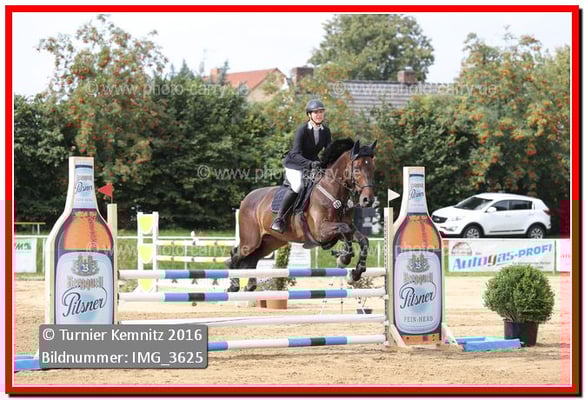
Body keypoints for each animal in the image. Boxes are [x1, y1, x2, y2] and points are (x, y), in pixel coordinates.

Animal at [226, 138, 377, 292]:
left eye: (372, 168)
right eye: (357, 168)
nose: (368, 200)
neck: (334, 192)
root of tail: (246, 199)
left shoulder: (345, 228)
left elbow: (363, 240)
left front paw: (355, 273)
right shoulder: (321, 231)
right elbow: (344, 230)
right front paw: (344, 259)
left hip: (271, 241)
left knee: (253, 258)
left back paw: (249, 286)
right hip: (251, 240)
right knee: (236, 254)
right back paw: (234, 285)